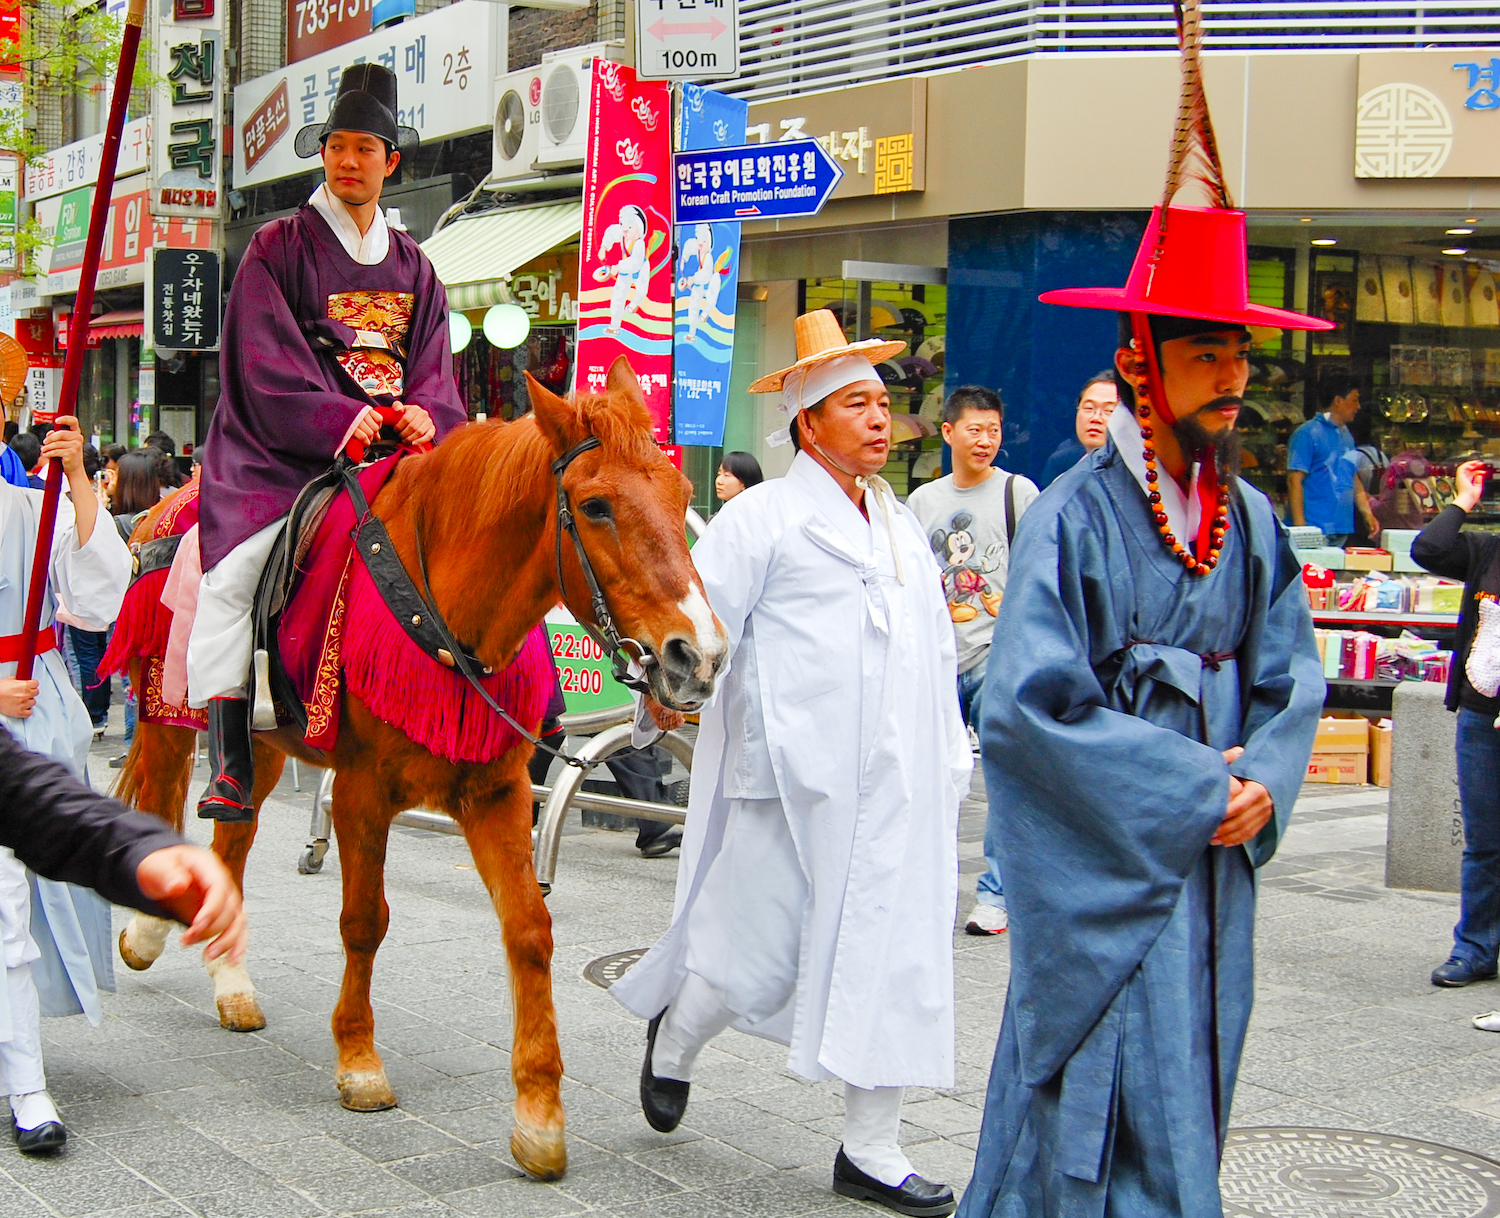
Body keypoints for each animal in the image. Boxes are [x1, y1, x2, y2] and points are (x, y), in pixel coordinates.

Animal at [112, 361, 732, 1182]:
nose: (699, 656)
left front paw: (539, 1116)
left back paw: (232, 986)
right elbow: (363, 922)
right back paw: (147, 935)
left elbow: (529, 930)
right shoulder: (361, 792)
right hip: (165, 706)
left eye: (684, 496)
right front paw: (359, 1062)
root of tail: (162, 506)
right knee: (160, 798)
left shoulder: (497, 791)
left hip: (264, 744)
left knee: (234, 837)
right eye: (596, 507)